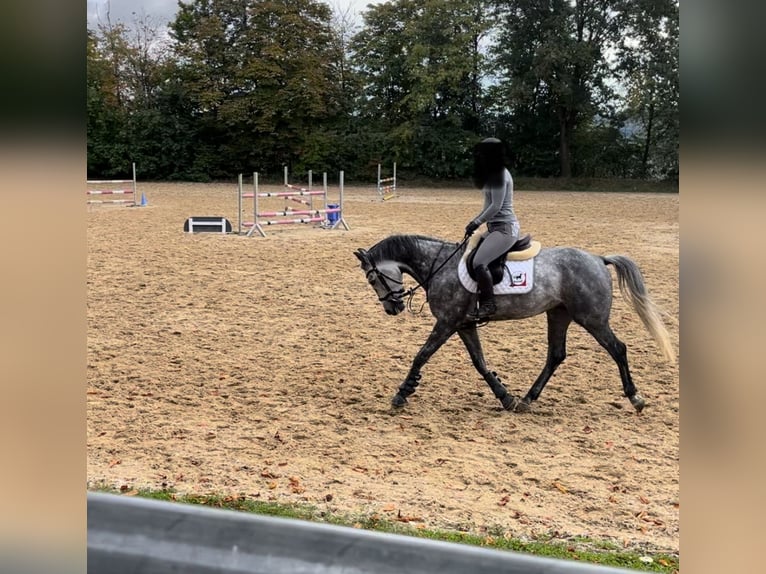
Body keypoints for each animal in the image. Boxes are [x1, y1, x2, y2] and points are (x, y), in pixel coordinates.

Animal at [354, 233, 675, 413]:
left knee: (618, 349)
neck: (440, 265)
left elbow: (422, 355)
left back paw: (635, 397)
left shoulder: (447, 322)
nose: (392, 307)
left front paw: (402, 393)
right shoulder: (464, 324)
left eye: (372, 278)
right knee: (556, 355)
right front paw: (506, 397)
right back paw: (528, 399)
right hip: (559, 314)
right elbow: (480, 363)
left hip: (592, 318)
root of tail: (598, 258)